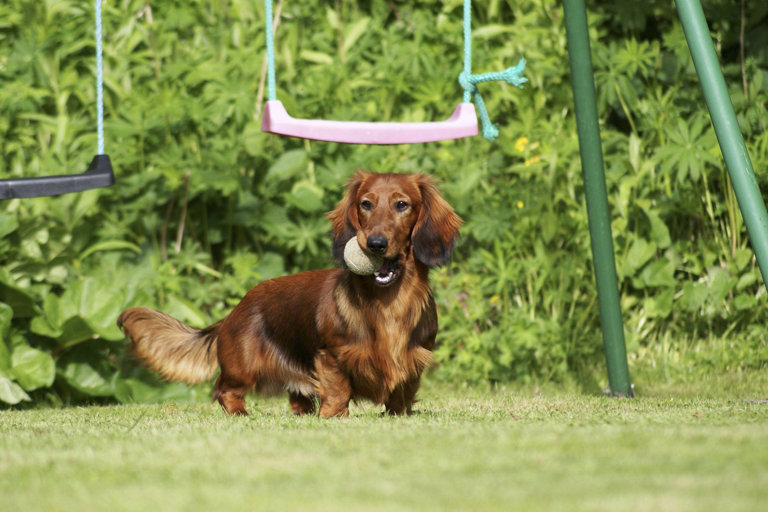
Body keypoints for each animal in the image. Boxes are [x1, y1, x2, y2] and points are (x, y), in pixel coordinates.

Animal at [117, 172, 460, 416]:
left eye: (402, 205)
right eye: (366, 204)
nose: (374, 244)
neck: (387, 303)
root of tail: (233, 312)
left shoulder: (413, 360)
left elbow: (400, 397)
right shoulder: (331, 356)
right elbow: (338, 393)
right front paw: (333, 418)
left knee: (296, 400)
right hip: (242, 368)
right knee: (223, 390)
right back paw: (241, 414)